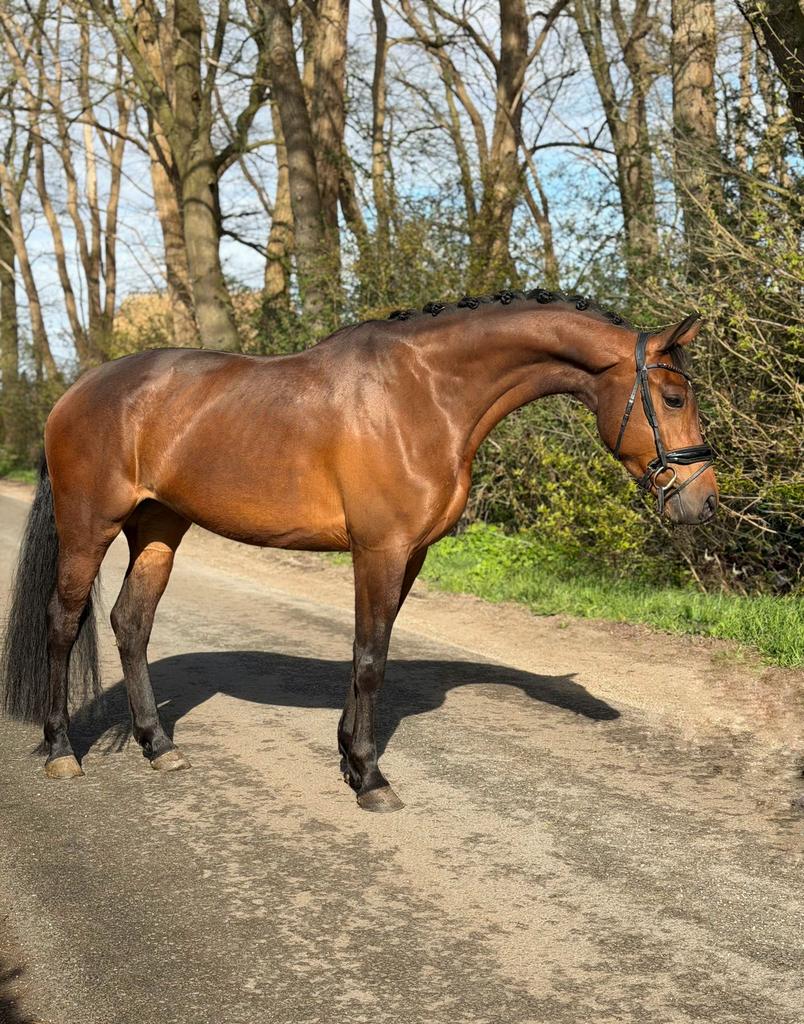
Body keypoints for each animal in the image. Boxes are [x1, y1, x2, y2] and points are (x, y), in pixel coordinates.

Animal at [1, 289, 717, 811]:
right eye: (674, 396)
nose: (703, 502)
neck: (424, 394)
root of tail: (75, 393)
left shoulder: (410, 554)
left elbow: (367, 649)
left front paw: (349, 757)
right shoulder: (380, 550)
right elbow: (371, 657)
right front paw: (371, 778)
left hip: (159, 527)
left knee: (131, 623)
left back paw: (158, 745)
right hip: (89, 528)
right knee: (63, 623)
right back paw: (61, 751)